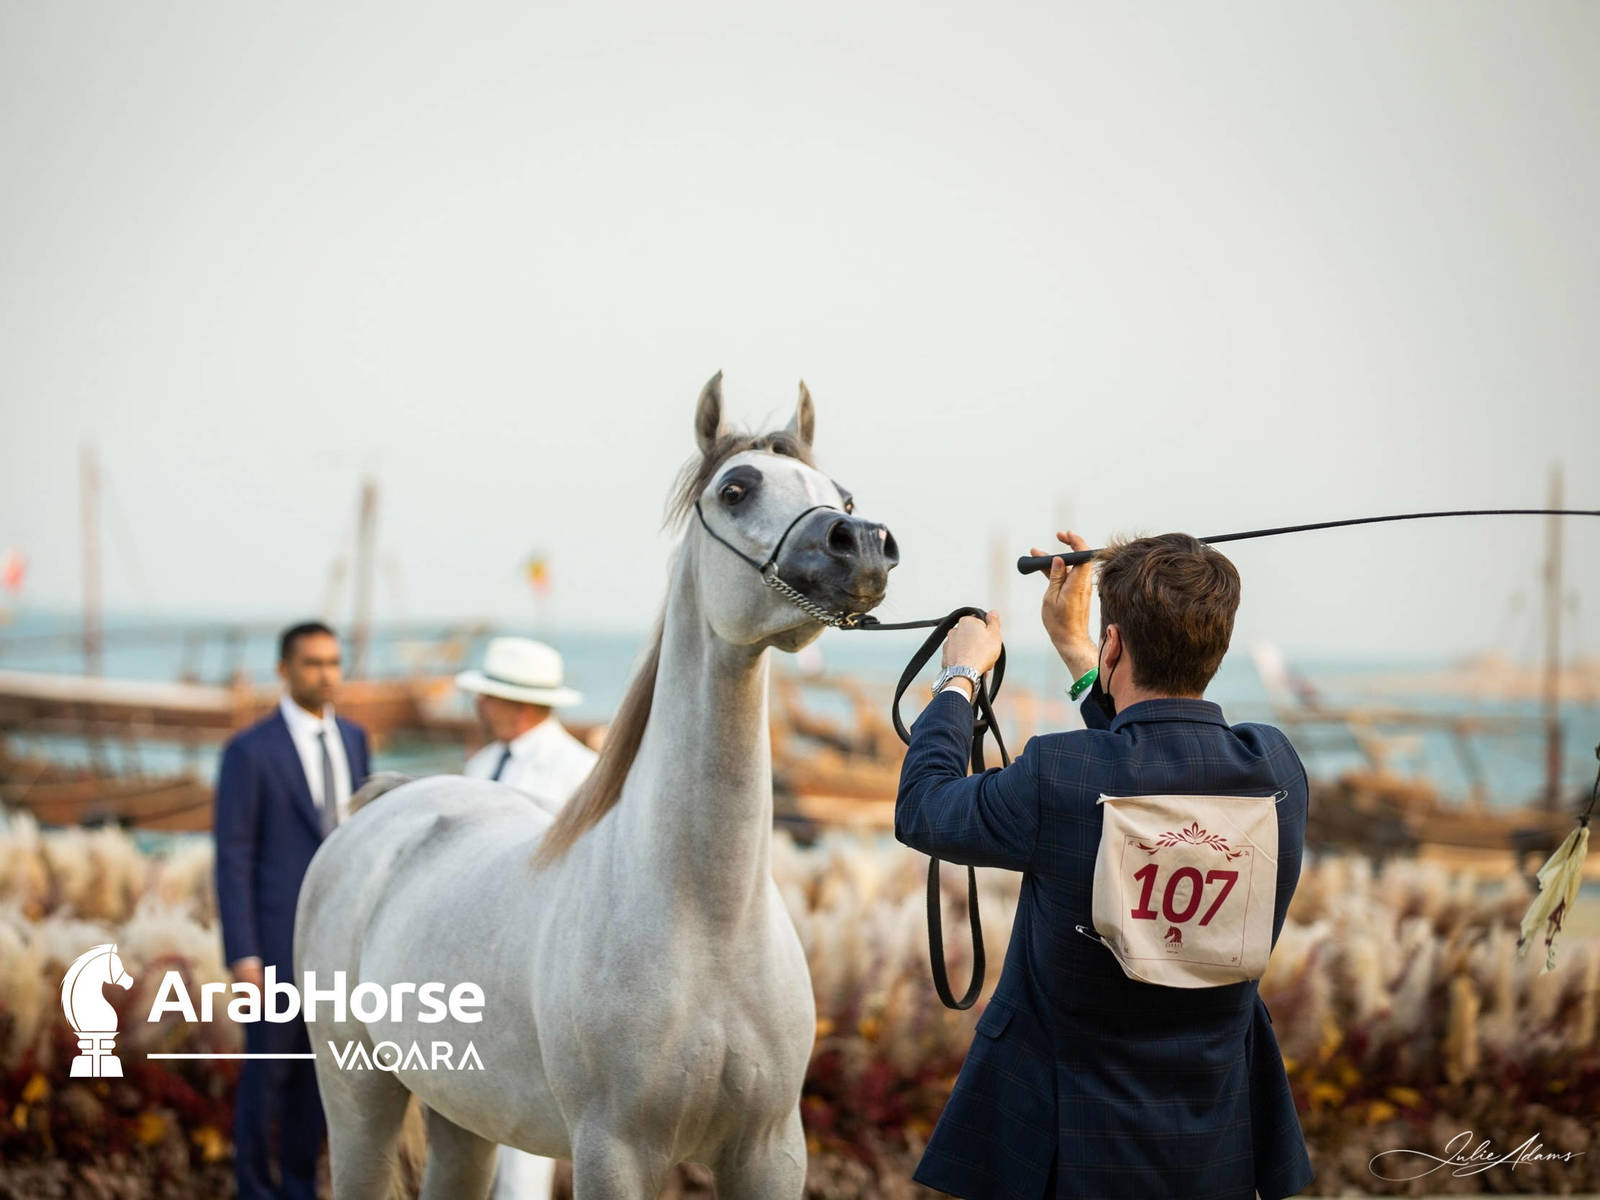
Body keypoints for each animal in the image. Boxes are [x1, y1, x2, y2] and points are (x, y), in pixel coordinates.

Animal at [294, 373, 898, 1199]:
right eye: (737, 488)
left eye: (841, 494)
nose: (860, 543)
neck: (706, 920)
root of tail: (388, 805)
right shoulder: (614, 1150)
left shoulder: (771, 1151)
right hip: (358, 1094)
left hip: (463, 1114)